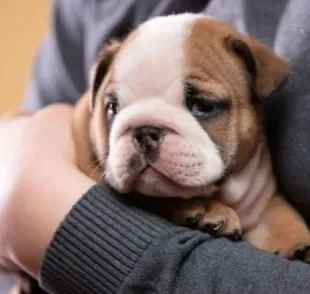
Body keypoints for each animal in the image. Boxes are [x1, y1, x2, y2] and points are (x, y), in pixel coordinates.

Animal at [72, 13, 310, 262]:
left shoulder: (264, 200)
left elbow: (281, 215)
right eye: (112, 108)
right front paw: (207, 208)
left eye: (203, 106)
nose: (145, 131)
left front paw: (297, 243)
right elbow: (162, 200)